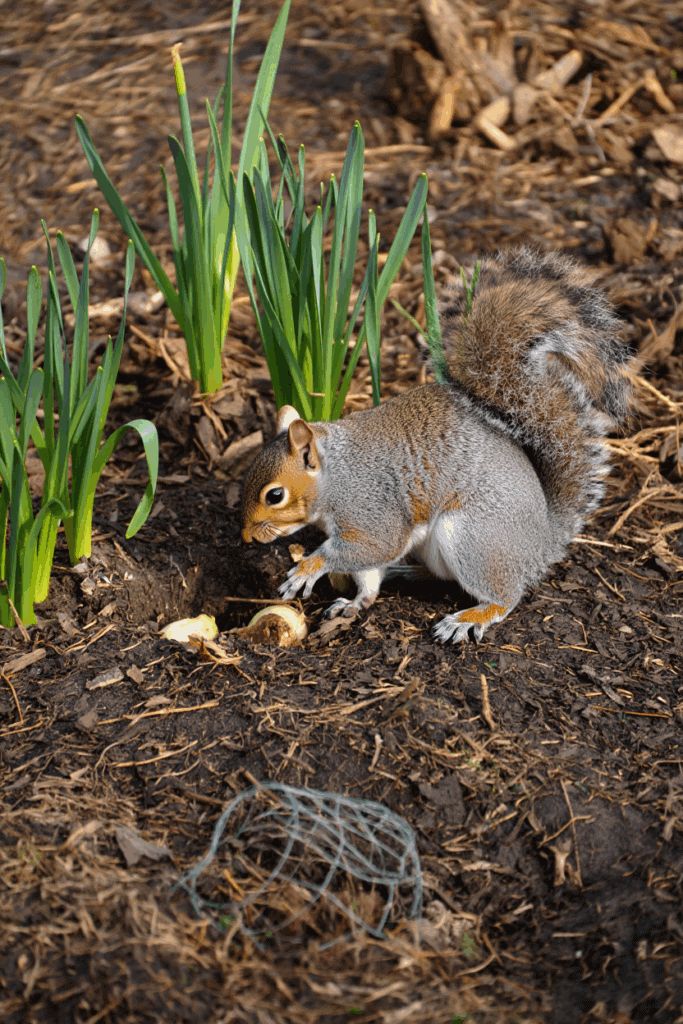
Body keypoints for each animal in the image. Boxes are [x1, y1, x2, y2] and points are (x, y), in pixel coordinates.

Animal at [241, 248, 633, 643]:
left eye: (275, 495)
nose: (246, 536)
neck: (335, 473)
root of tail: (539, 545)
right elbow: (368, 577)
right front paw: (354, 601)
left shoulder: (372, 511)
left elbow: (372, 547)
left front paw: (309, 567)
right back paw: (408, 573)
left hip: (473, 539)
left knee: (505, 597)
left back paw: (471, 617)